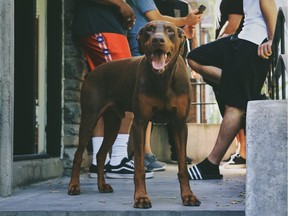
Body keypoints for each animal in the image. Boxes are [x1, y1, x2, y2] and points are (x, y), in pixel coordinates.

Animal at [68, 19, 201, 208]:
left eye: (170, 30)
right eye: (149, 30)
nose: (158, 40)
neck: (163, 79)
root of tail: (93, 72)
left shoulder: (180, 124)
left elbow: (182, 167)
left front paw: (188, 196)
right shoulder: (140, 123)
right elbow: (139, 168)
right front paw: (141, 197)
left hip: (113, 123)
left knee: (100, 154)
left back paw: (102, 185)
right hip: (90, 117)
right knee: (78, 155)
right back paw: (74, 186)